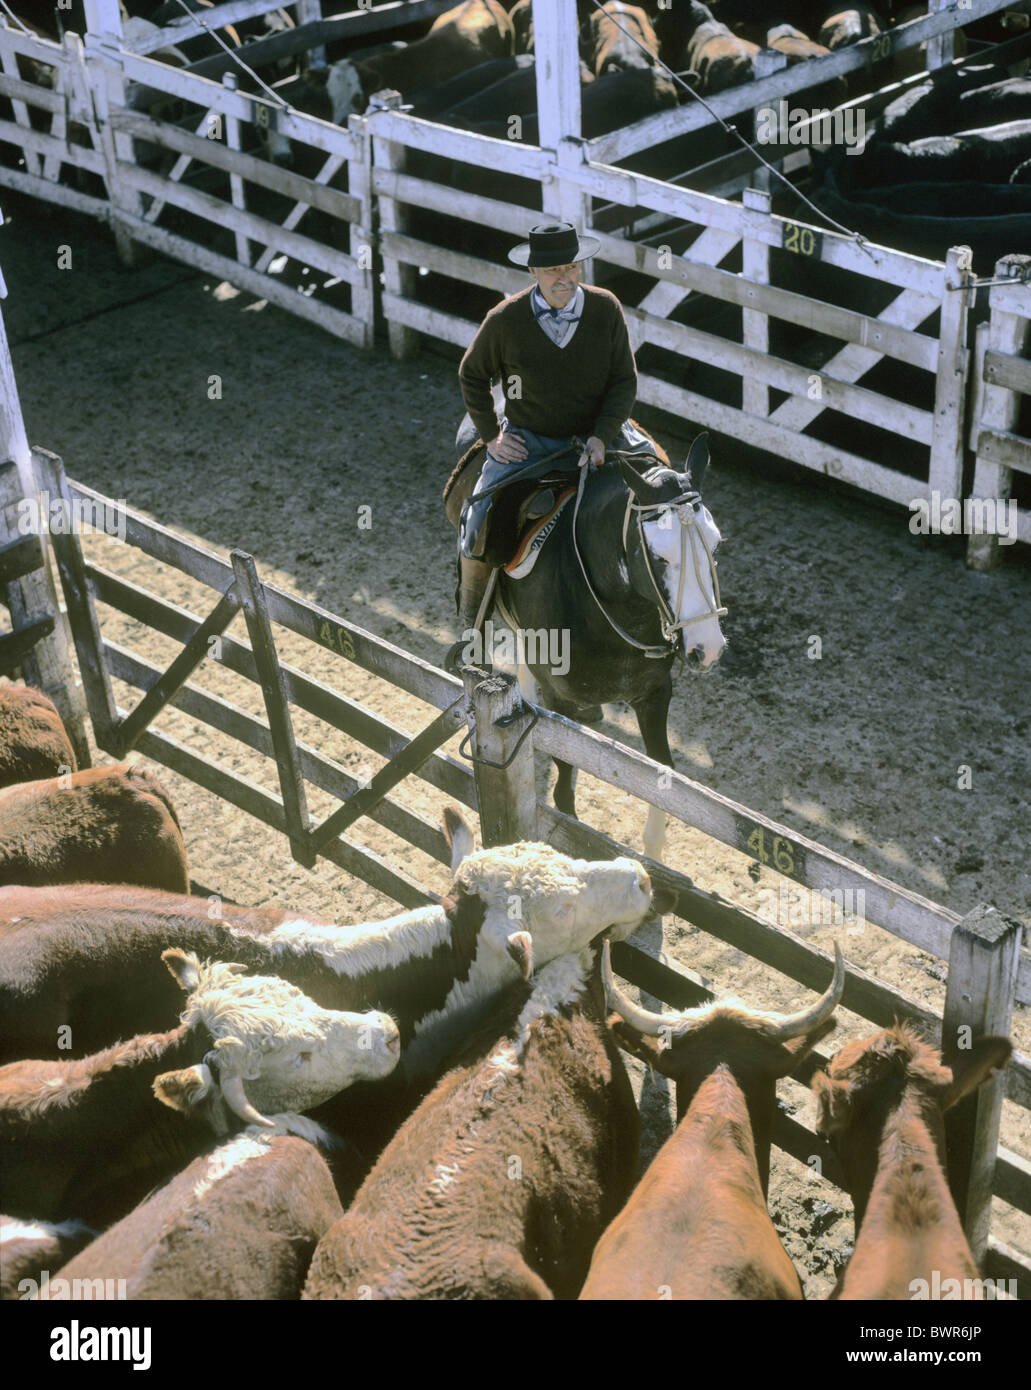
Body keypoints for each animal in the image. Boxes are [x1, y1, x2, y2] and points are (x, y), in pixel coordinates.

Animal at [447, 422, 728, 856]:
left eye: (715, 545)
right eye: (660, 557)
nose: (707, 648)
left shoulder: (655, 693)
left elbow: (661, 774)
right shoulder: (560, 699)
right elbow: (565, 775)